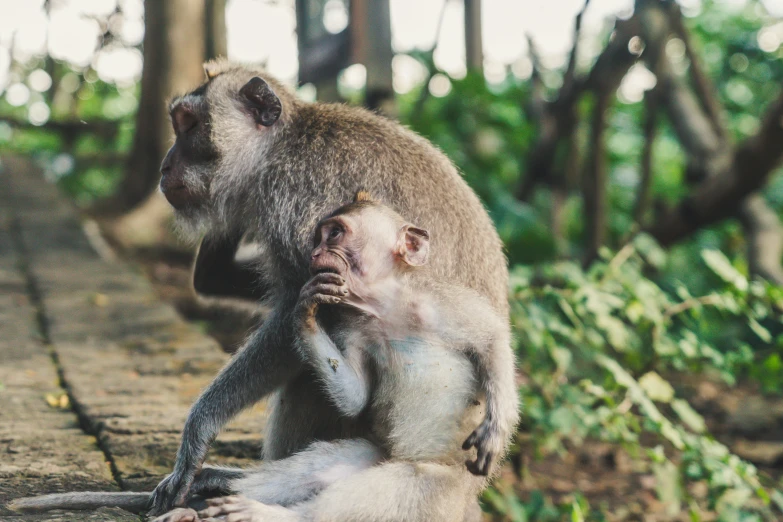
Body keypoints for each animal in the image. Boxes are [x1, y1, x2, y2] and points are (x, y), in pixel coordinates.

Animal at [151, 59, 516, 512]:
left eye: (189, 124)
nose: (165, 167)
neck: (279, 149)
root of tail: (469, 490)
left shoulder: (296, 201)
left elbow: (295, 316)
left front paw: (199, 430)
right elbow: (225, 281)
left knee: (306, 379)